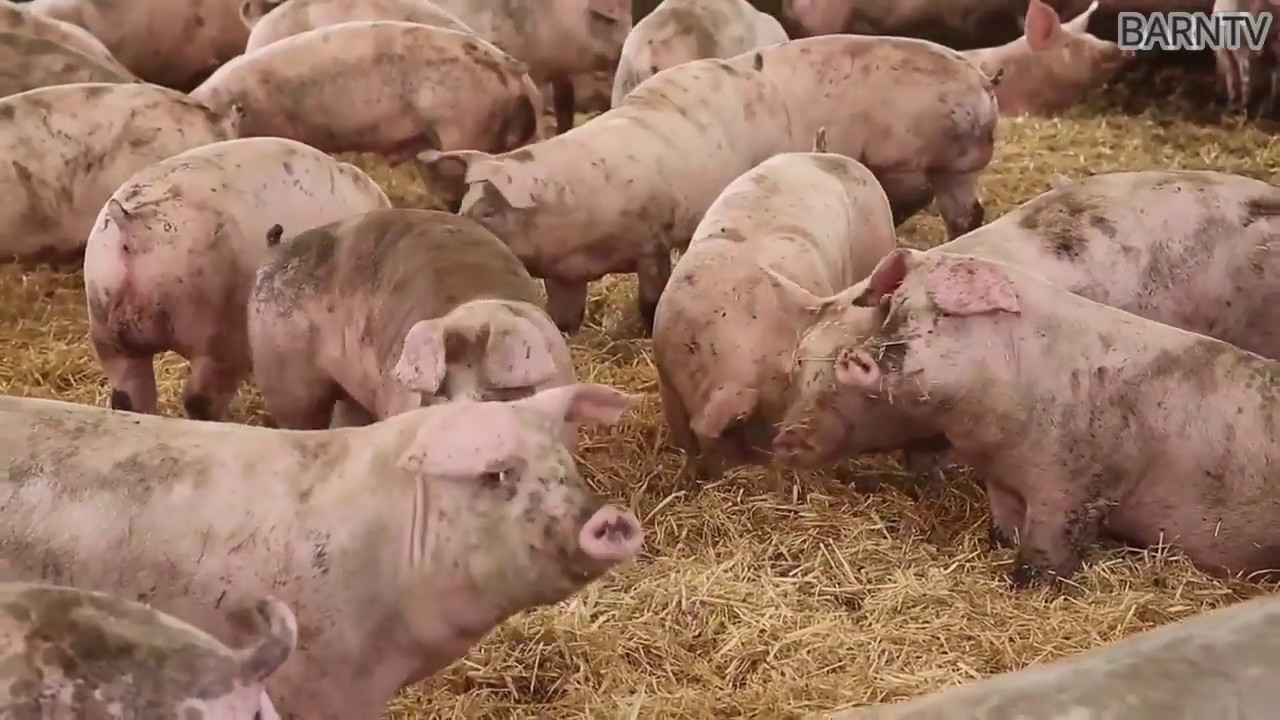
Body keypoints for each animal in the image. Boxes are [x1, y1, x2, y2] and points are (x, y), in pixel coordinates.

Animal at [416, 34, 998, 335]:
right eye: (465, 203)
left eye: (487, 210)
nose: (454, 231)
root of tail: (982, 80)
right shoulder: (565, 273)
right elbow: (566, 316)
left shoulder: (652, 239)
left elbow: (651, 296)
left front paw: (641, 330)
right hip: (952, 172)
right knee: (967, 214)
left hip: (949, 164)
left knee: (962, 214)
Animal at [828, 250, 1280, 585]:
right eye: (894, 306)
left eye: (945, 315)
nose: (853, 355)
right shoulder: (1002, 479)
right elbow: (1005, 525)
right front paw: (997, 544)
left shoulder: (1076, 485)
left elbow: (1048, 547)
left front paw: (1025, 584)